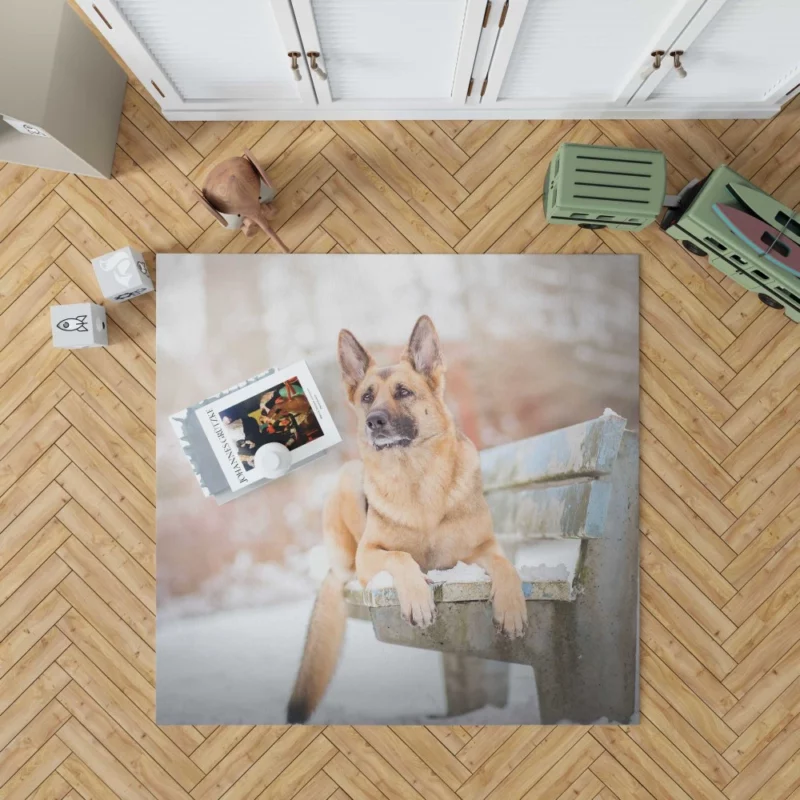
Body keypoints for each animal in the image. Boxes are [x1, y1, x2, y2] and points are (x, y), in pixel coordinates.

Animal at [288, 316, 524, 720]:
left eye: (403, 392)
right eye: (367, 397)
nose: (374, 421)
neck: (417, 481)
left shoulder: (484, 548)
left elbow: (506, 567)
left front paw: (511, 609)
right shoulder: (371, 555)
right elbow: (400, 557)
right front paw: (417, 598)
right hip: (349, 480)